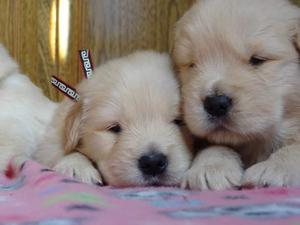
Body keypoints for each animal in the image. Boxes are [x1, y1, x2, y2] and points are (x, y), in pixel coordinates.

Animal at [172, 0, 300, 190]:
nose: (215, 104)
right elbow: (214, 146)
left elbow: (295, 148)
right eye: (192, 64)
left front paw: (273, 169)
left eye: (257, 60)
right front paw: (210, 168)